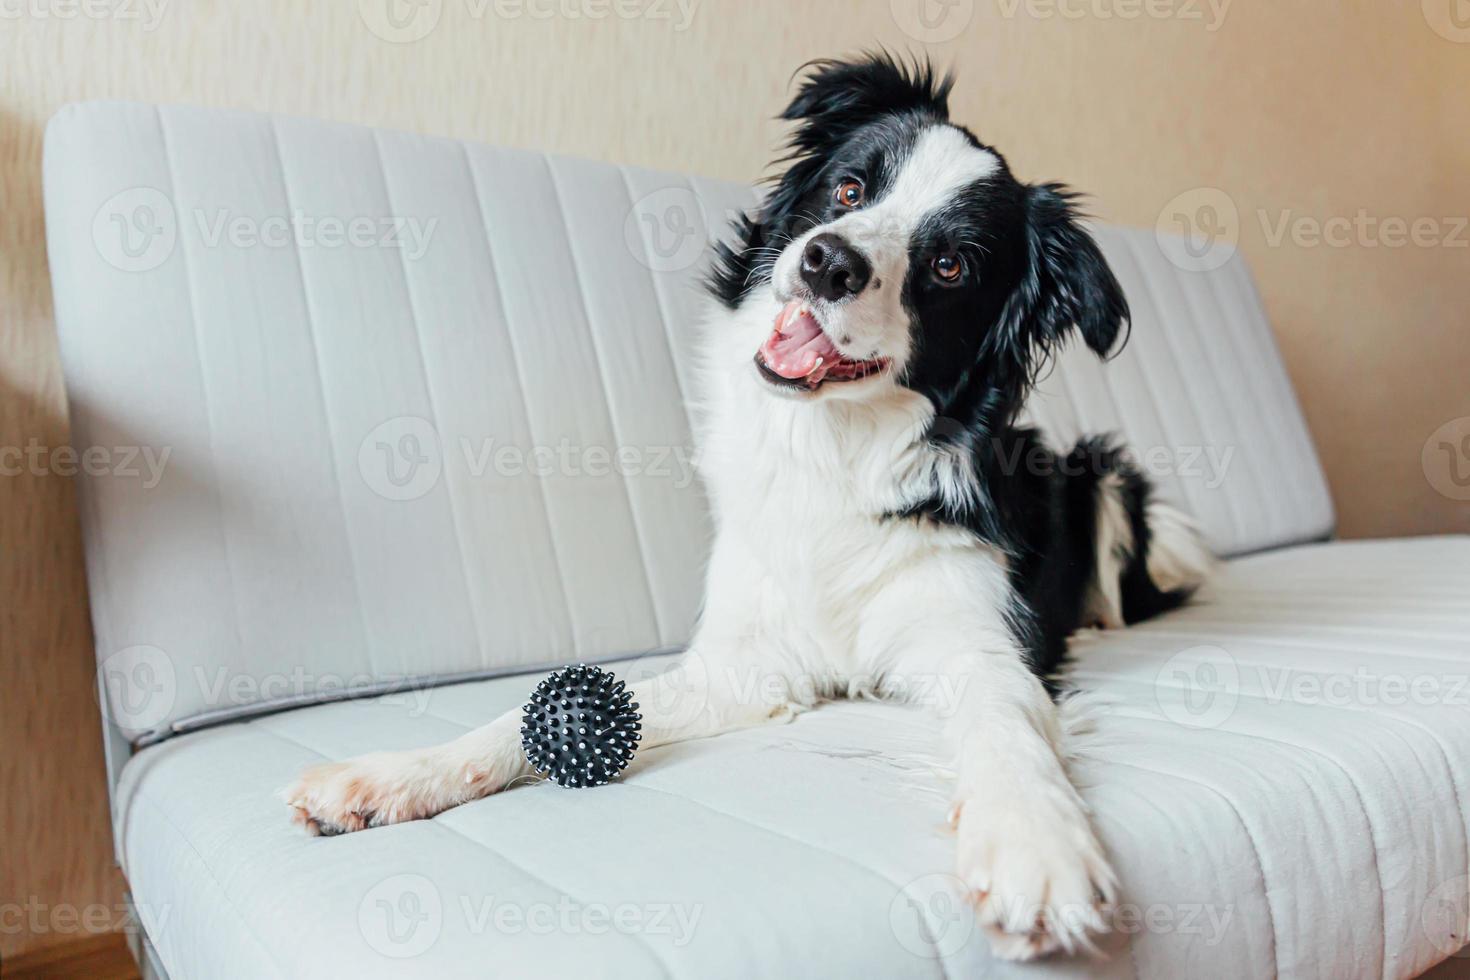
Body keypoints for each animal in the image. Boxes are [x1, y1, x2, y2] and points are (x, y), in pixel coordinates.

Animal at [283, 51, 1205, 957]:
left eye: (951, 265)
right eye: (849, 190)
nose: (829, 261)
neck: (834, 452)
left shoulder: (976, 645)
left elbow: (1007, 730)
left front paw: (1032, 847)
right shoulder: (746, 662)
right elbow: (524, 717)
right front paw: (394, 774)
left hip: (1106, 471)